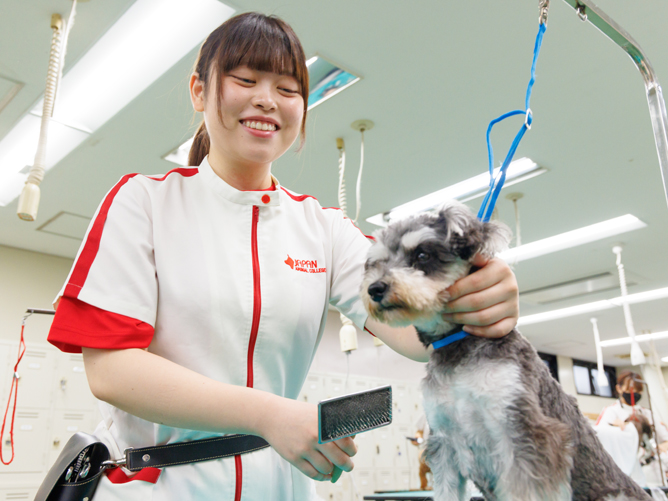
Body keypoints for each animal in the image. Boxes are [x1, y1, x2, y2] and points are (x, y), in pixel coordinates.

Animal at [362, 202, 648, 500]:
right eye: (378, 262)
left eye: (421, 254)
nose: (375, 288)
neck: (456, 345)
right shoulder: (444, 445)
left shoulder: (526, 438)